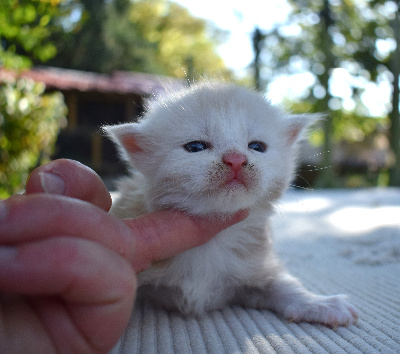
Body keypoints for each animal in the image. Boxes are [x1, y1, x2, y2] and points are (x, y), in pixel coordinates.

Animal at [104, 81, 358, 326]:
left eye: (257, 146)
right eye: (196, 147)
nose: (236, 159)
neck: (213, 240)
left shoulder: (254, 267)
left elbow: (283, 284)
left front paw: (319, 304)